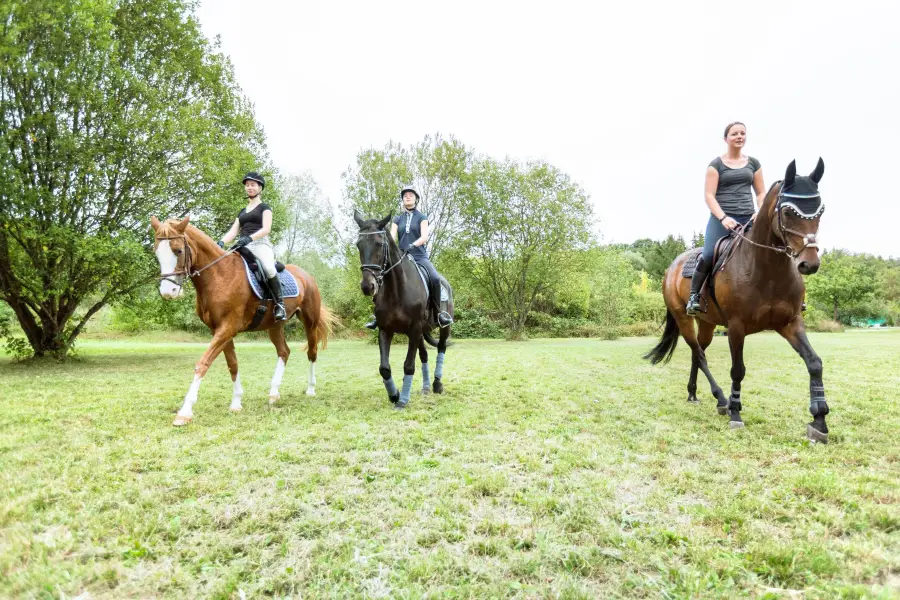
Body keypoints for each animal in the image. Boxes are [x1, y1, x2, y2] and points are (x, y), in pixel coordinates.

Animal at [151, 216, 334, 426]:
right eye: (156, 252)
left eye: (178, 251)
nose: (168, 292)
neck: (220, 275)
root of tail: (307, 276)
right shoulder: (220, 330)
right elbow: (233, 364)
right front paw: (236, 403)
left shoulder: (227, 328)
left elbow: (203, 363)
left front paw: (184, 412)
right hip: (274, 326)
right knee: (284, 352)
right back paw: (273, 393)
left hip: (310, 322)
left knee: (312, 352)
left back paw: (311, 389)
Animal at [354, 209, 454, 410]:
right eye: (358, 244)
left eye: (380, 244)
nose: (367, 286)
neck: (396, 290)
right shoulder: (386, 330)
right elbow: (384, 368)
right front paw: (394, 395)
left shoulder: (414, 329)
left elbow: (409, 365)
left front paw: (402, 401)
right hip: (421, 332)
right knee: (424, 355)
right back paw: (425, 388)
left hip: (442, 327)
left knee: (441, 349)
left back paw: (437, 385)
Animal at [648, 158, 828, 440]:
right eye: (788, 212)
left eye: (820, 211)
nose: (809, 264)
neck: (767, 270)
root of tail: (672, 267)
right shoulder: (736, 327)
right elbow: (738, 370)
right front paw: (735, 412)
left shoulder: (789, 323)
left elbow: (814, 363)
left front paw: (819, 420)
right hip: (684, 318)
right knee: (699, 354)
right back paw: (721, 399)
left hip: (707, 324)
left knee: (698, 352)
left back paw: (693, 393)